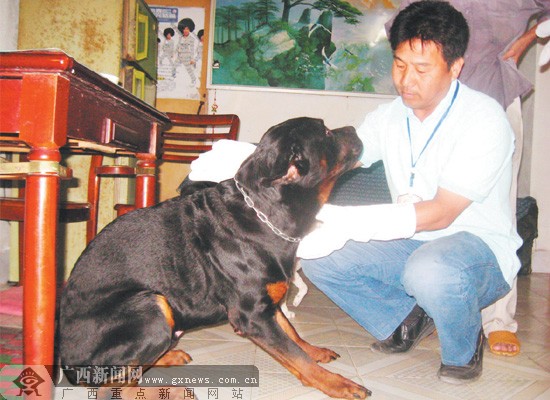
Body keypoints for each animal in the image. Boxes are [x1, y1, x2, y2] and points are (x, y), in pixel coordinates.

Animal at [60, 117, 370, 398]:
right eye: (327, 133)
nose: (354, 129)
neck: (264, 214)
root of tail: (66, 364)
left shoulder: (266, 304)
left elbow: (291, 331)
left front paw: (315, 350)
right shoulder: (252, 316)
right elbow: (295, 355)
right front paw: (338, 383)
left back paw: (169, 357)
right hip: (152, 305)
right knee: (115, 386)